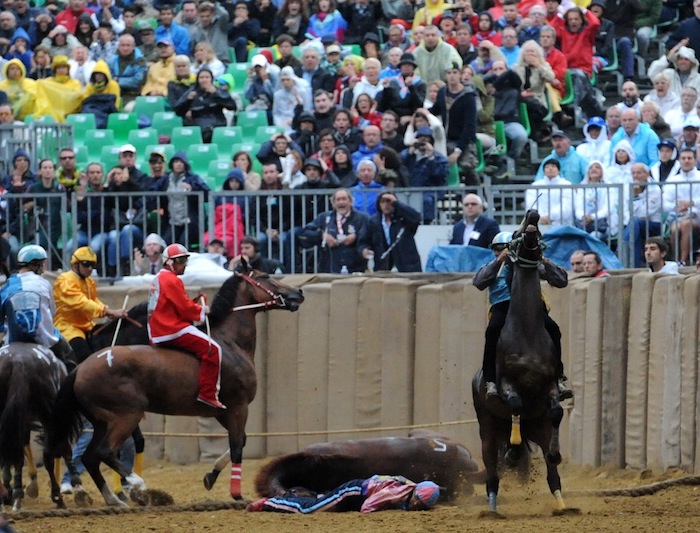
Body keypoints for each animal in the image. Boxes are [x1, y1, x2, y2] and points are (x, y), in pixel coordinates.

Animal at [0, 342, 82, 510]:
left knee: (16, 453)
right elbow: (57, 453)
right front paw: (71, 490)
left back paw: (16, 494)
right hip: (48, 412)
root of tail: (18, 361)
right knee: (54, 451)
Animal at [46, 266, 304, 508]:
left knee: (90, 457)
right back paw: (138, 486)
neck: (231, 343)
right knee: (104, 452)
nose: (298, 293)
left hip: (102, 421)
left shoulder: (223, 411)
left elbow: (241, 442)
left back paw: (114, 499)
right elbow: (238, 446)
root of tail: (81, 368)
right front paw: (237, 494)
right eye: (265, 276)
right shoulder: (239, 407)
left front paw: (211, 475)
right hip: (125, 416)